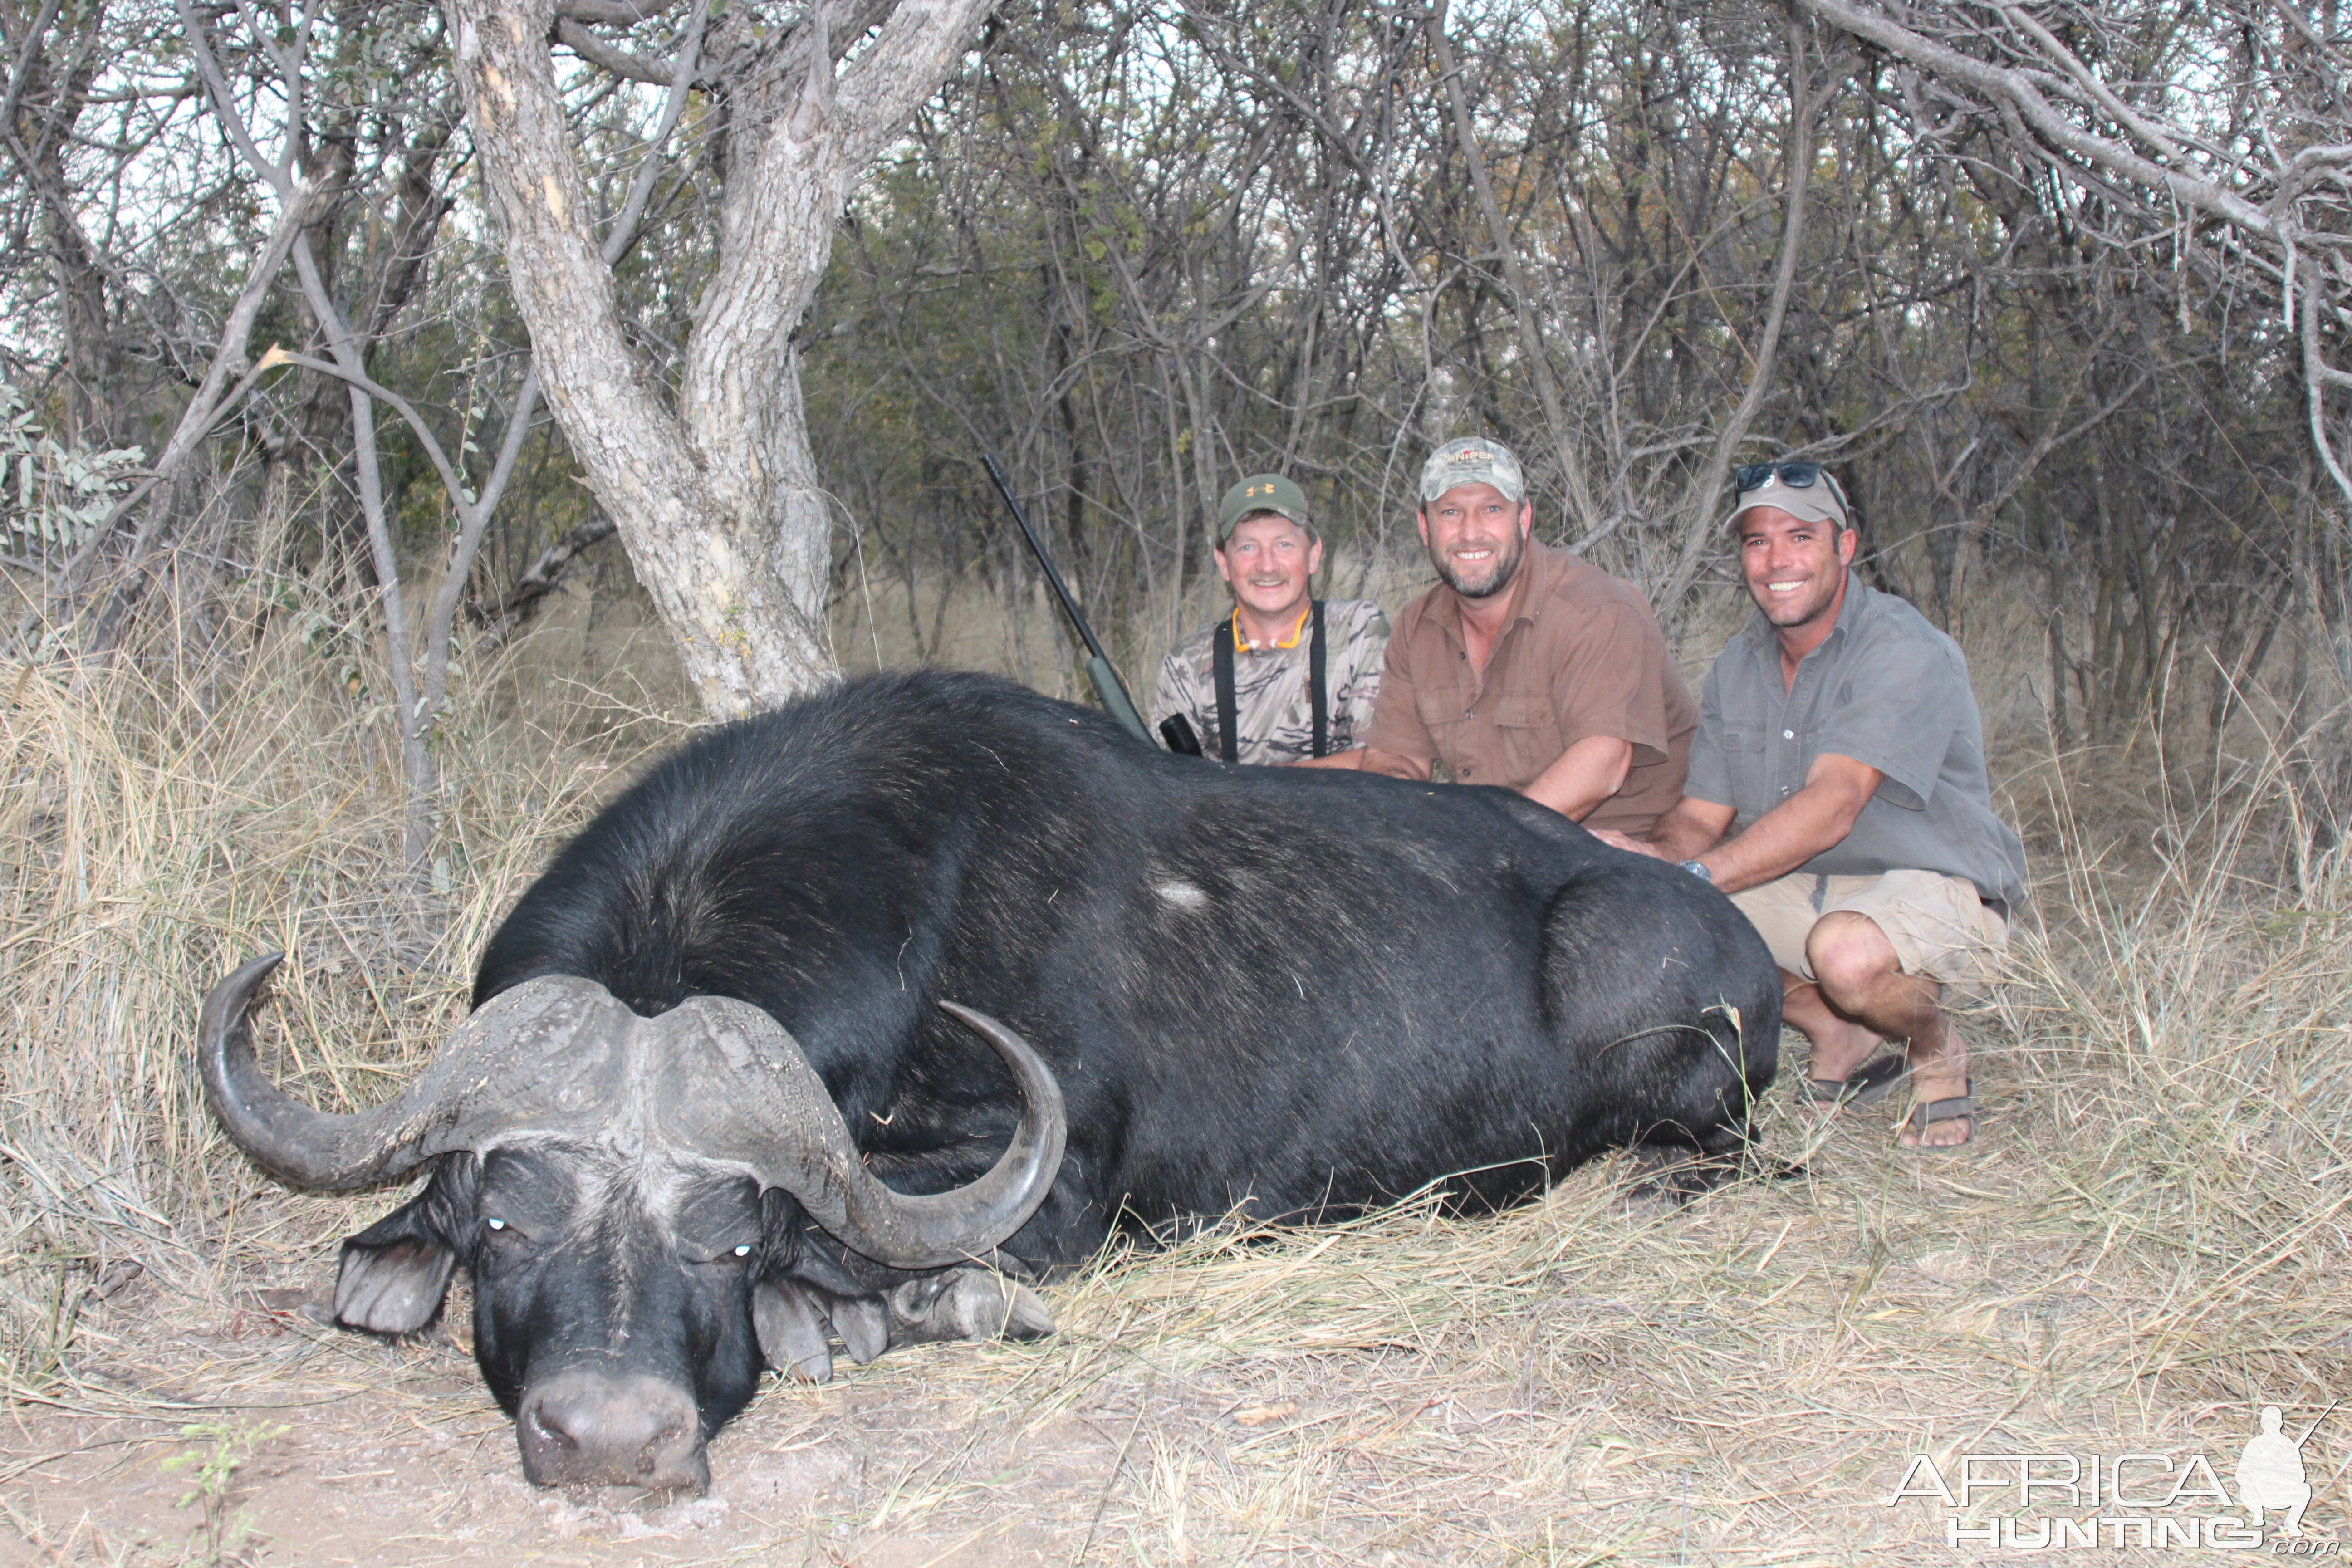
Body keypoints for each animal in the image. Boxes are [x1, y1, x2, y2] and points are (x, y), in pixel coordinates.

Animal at [197, 667, 1778, 1495]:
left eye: (736, 1235)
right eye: (498, 1221)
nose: (609, 1439)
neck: (913, 910)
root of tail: (1742, 945)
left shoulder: (1056, 1196)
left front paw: (883, 1311)